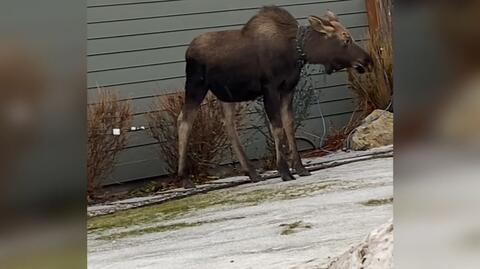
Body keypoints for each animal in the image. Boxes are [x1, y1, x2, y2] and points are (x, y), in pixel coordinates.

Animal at [175, 5, 372, 187]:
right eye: (346, 39)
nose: (367, 60)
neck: (296, 52)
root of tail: (187, 52)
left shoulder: (288, 89)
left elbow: (289, 125)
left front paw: (300, 168)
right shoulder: (270, 88)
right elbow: (276, 127)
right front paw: (284, 171)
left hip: (226, 95)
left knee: (228, 125)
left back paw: (252, 172)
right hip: (196, 85)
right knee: (184, 121)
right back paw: (184, 178)